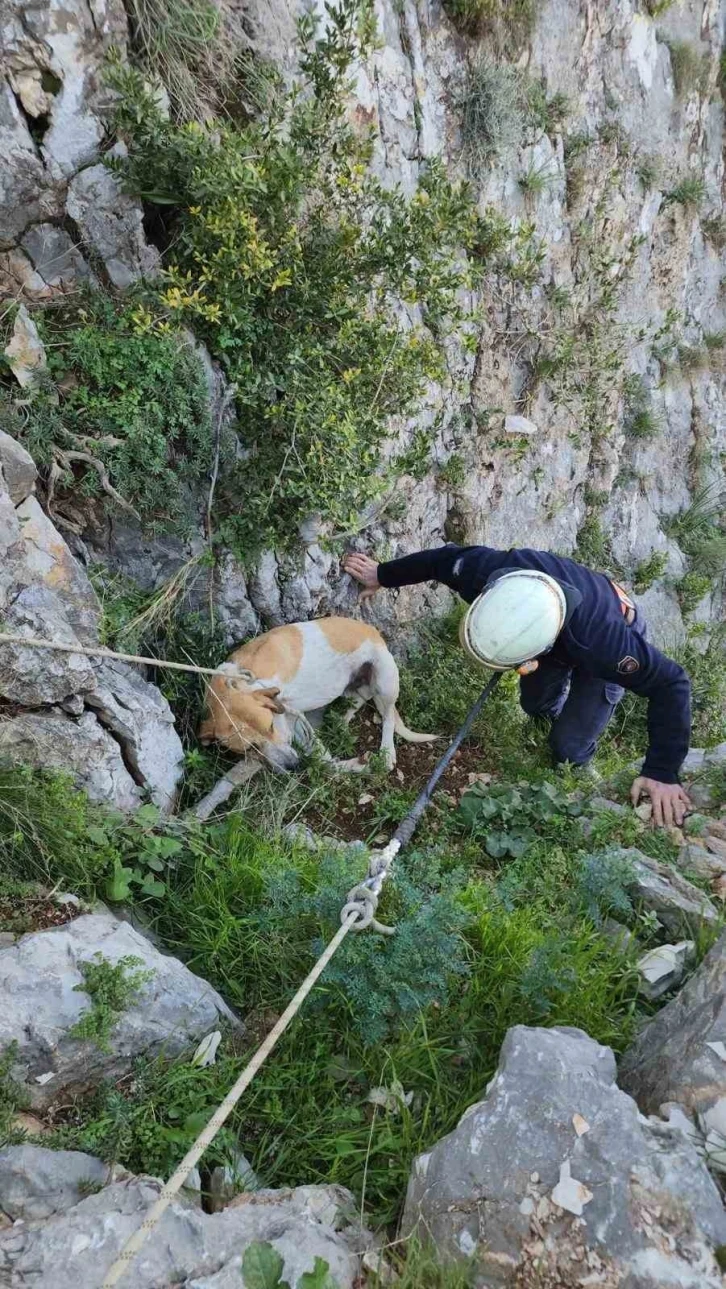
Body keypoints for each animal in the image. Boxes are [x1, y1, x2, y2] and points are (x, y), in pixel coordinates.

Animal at [197, 616, 438, 768]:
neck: (238, 680)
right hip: (351, 687)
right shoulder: (291, 719)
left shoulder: (292, 715)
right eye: (249, 749)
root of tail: (375, 633)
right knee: (360, 699)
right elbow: (323, 758)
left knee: (387, 717)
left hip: (385, 680)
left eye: (270, 726)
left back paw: (387, 752)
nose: (293, 766)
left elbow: (320, 753)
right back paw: (341, 722)